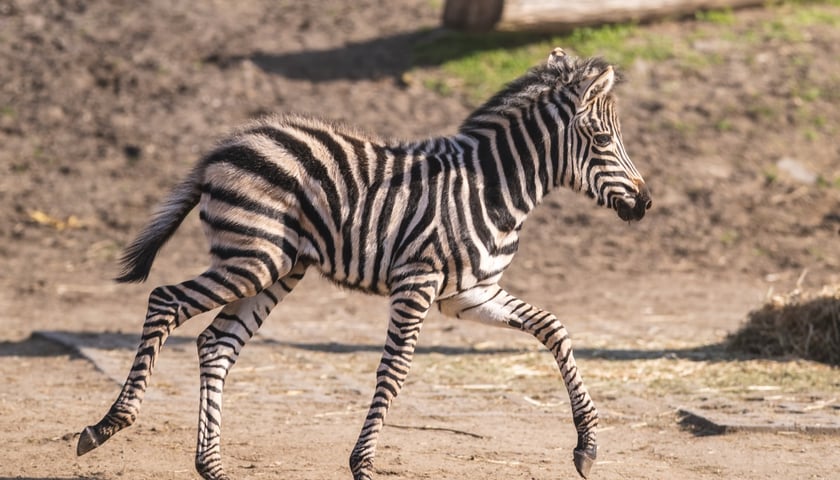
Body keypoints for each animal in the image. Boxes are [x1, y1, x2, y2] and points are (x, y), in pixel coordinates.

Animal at [77, 47, 651, 480]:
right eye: (603, 140)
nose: (645, 203)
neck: (491, 189)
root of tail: (229, 143)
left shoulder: (470, 295)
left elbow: (555, 328)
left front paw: (587, 445)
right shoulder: (418, 282)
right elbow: (394, 371)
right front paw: (363, 464)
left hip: (277, 268)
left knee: (216, 343)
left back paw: (212, 467)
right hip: (254, 258)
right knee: (165, 300)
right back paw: (107, 425)